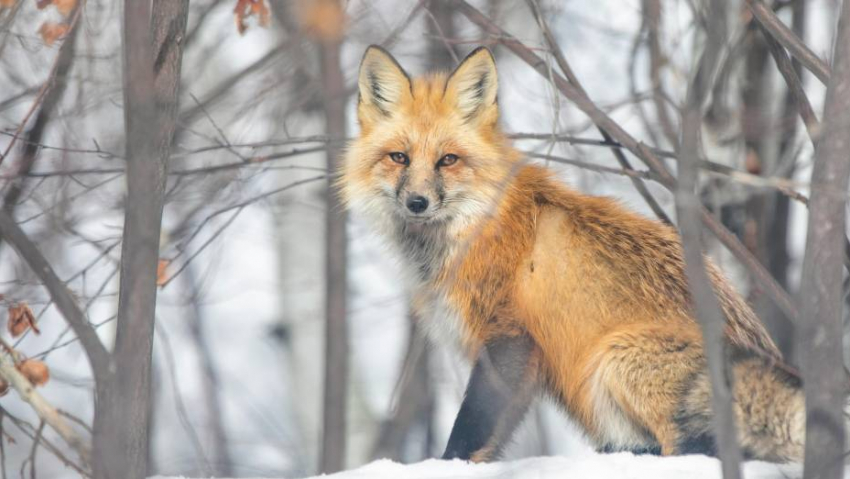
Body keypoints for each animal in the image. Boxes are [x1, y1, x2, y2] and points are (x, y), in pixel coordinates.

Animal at [340, 47, 800, 464]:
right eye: (399, 157)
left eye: (448, 160)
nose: (417, 202)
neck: (475, 227)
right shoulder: (522, 366)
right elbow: (492, 439)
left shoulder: (510, 337)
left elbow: (469, 431)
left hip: (617, 359)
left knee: (698, 449)